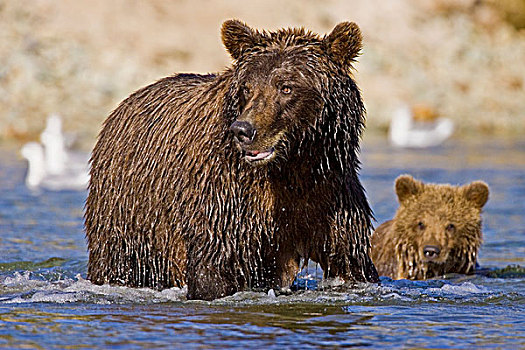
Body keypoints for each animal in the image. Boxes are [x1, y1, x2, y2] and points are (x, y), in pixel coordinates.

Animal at [84, 19, 376, 300]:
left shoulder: (330, 198)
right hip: (128, 215)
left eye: (286, 87)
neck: (292, 166)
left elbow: (351, 263)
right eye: (247, 87)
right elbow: (211, 270)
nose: (243, 130)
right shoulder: (225, 200)